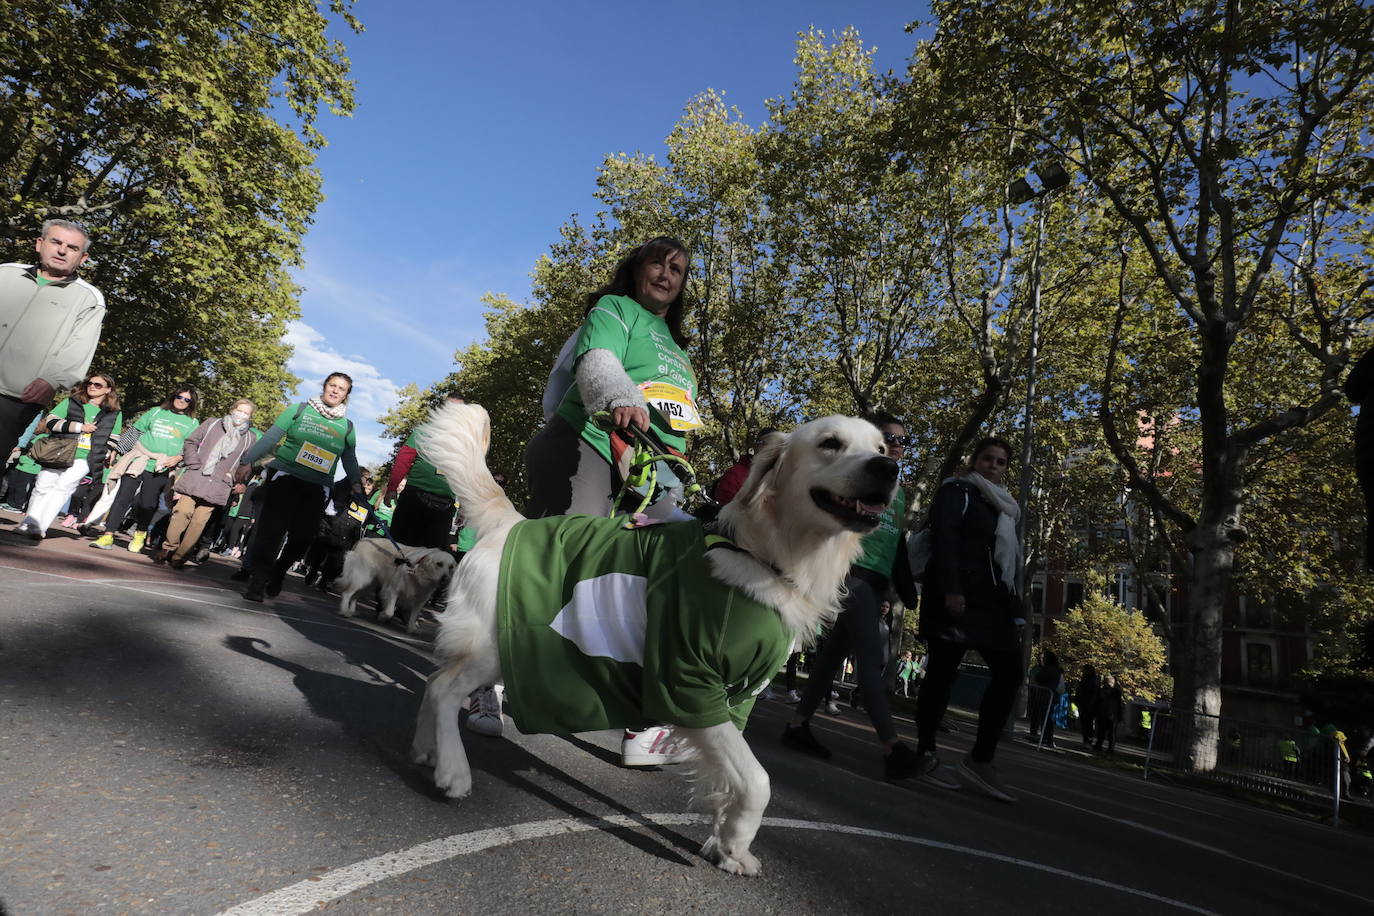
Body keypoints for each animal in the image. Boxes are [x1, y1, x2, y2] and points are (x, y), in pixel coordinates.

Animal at [412, 403, 895, 878]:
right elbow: (757, 780)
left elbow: (733, 776)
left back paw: (425, 752)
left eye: (881, 447)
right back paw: (453, 770)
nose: (889, 468)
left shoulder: (739, 697)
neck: (764, 555)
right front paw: (735, 841)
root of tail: (510, 522)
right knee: (444, 687)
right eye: (829, 443)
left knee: (433, 685)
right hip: (495, 646)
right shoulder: (691, 683)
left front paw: (727, 847)